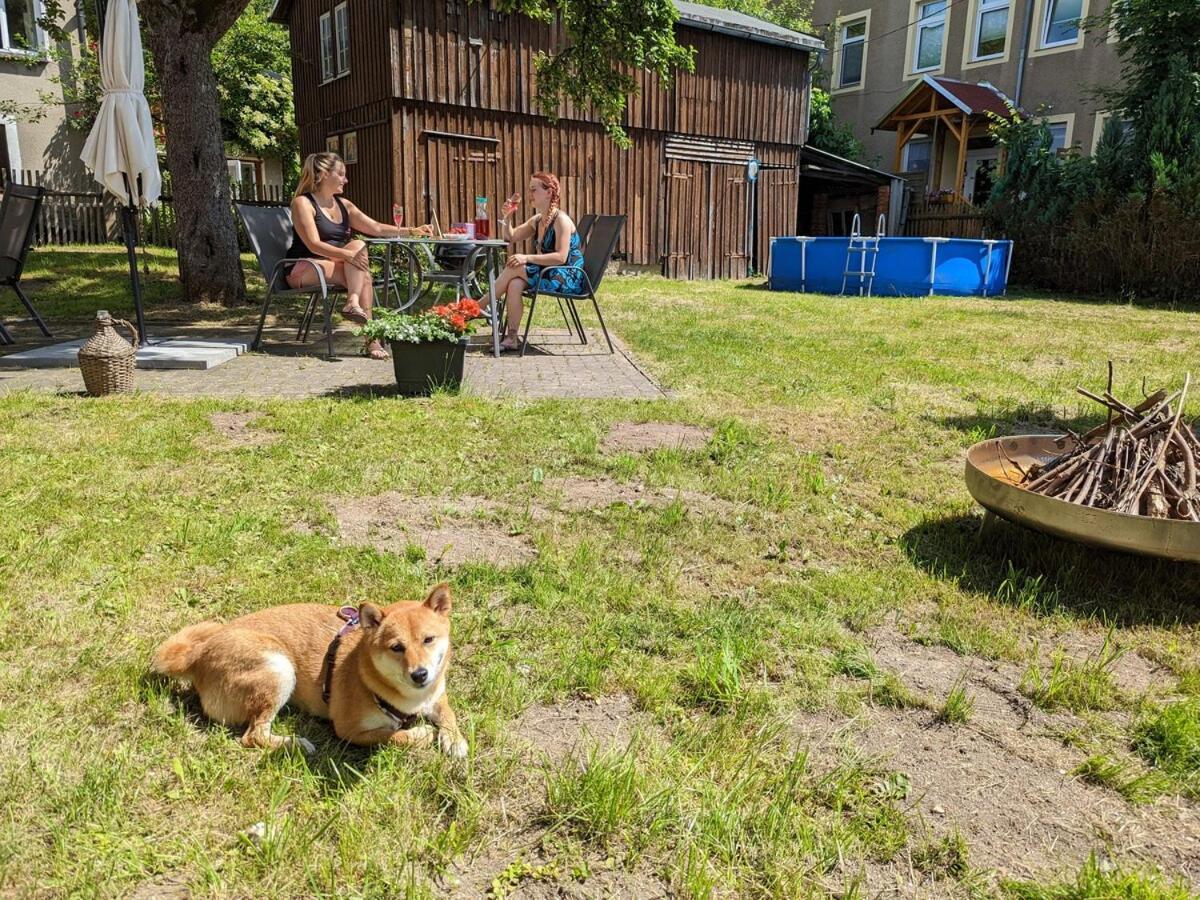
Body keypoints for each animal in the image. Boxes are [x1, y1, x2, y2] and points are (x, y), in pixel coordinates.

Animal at [151, 580, 468, 758]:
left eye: (428, 640)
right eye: (396, 647)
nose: (420, 674)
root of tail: (199, 654)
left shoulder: (436, 695)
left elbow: (448, 713)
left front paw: (455, 740)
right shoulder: (349, 730)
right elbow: (393, 736)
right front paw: (420, 734)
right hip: (279, 668)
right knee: (254, 736)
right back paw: (295, 744)